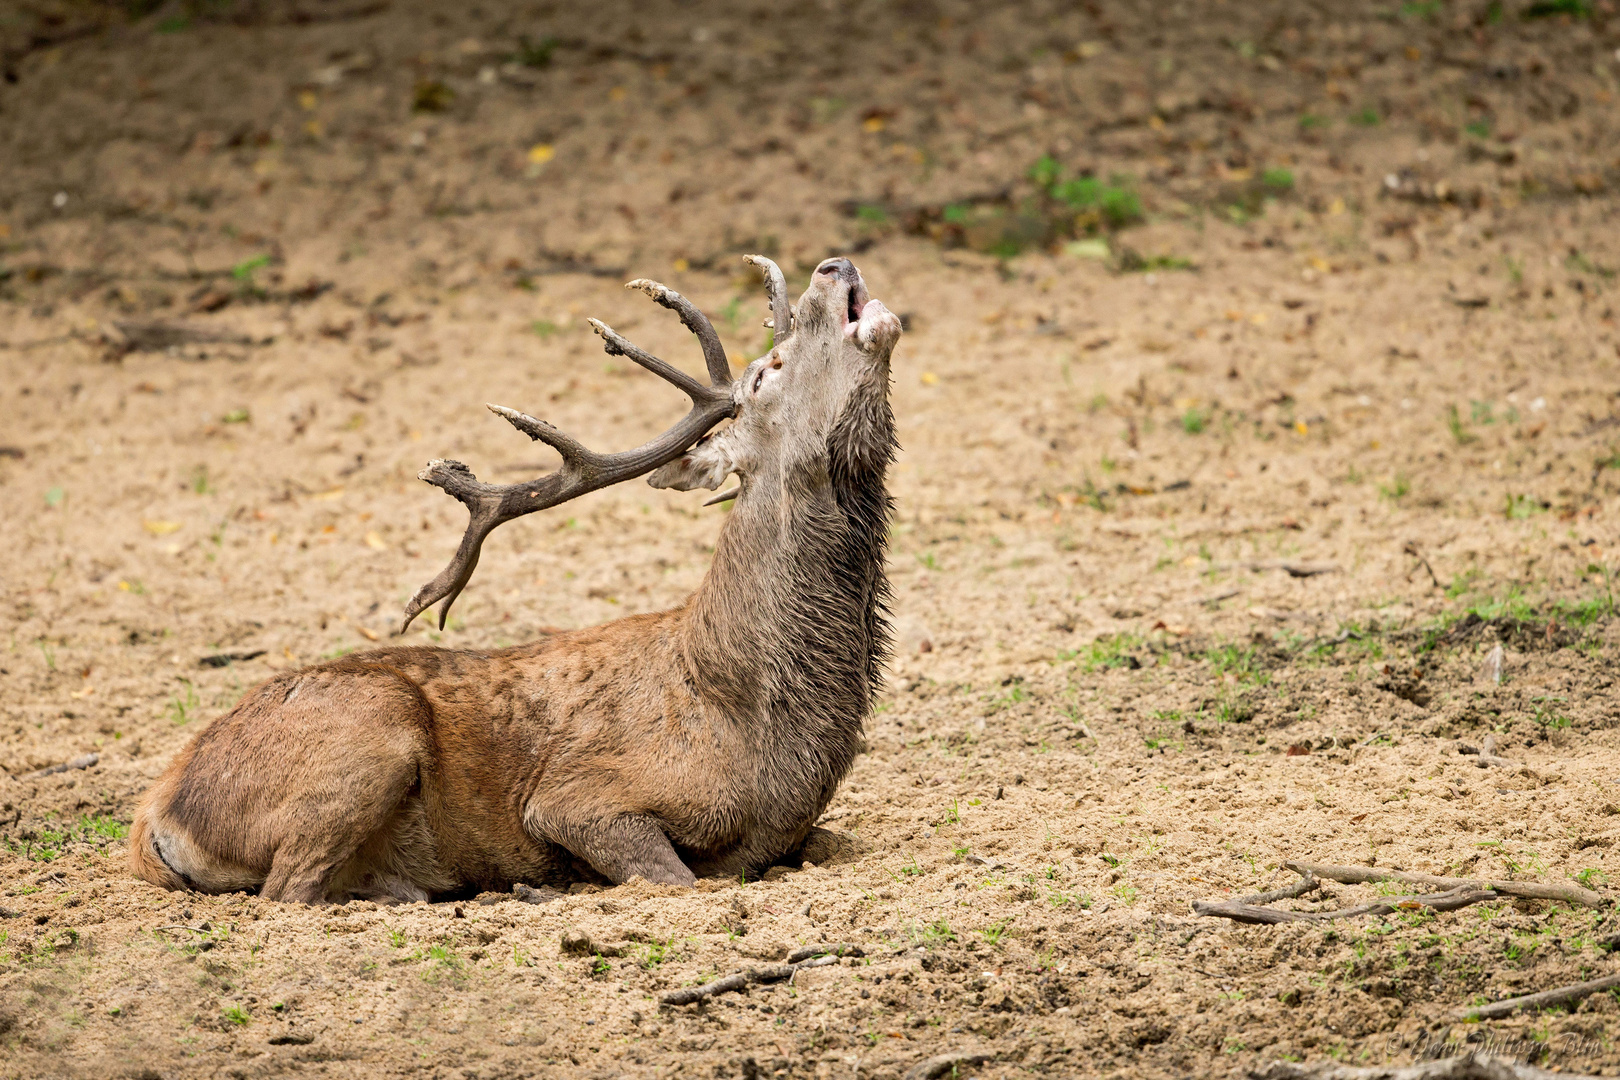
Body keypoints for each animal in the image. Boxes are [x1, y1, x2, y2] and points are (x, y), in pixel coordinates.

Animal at [131, 255, 907, 906]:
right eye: (767, 372)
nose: (833, 264)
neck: (754, 720)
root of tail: (156, 815)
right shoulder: (578, 797)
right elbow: (675, 879)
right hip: (372, 727)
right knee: (289, 892)